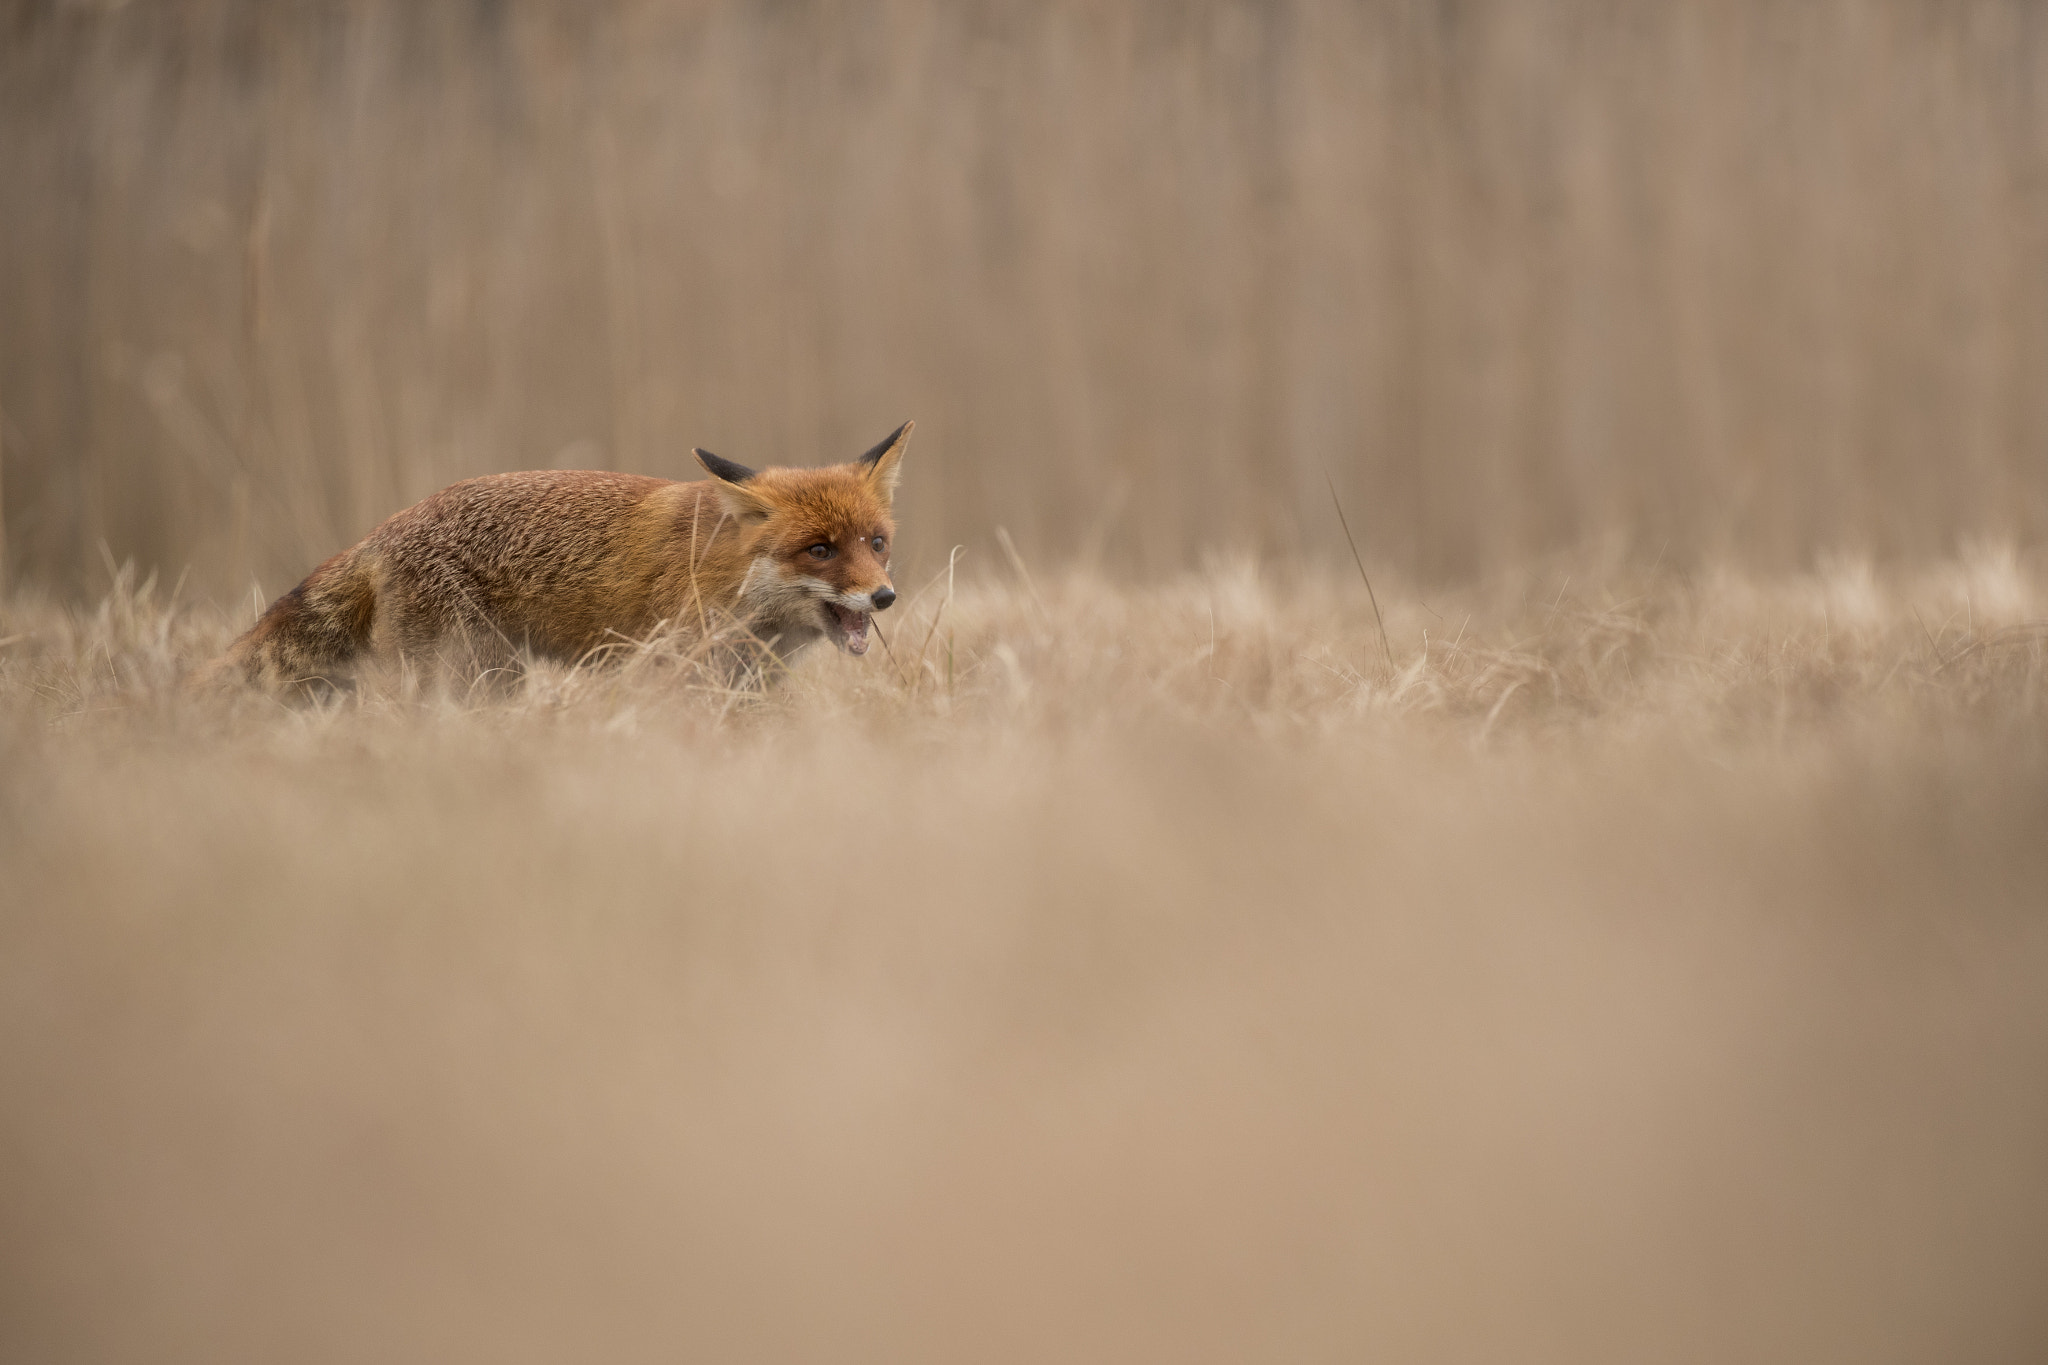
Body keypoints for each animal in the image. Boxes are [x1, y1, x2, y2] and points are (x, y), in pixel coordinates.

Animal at [197, 421, 912, 692]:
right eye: (818, 550)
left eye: (876, 543)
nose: (884, 597)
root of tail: (384, 529)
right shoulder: (670, 670)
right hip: (473, 676)